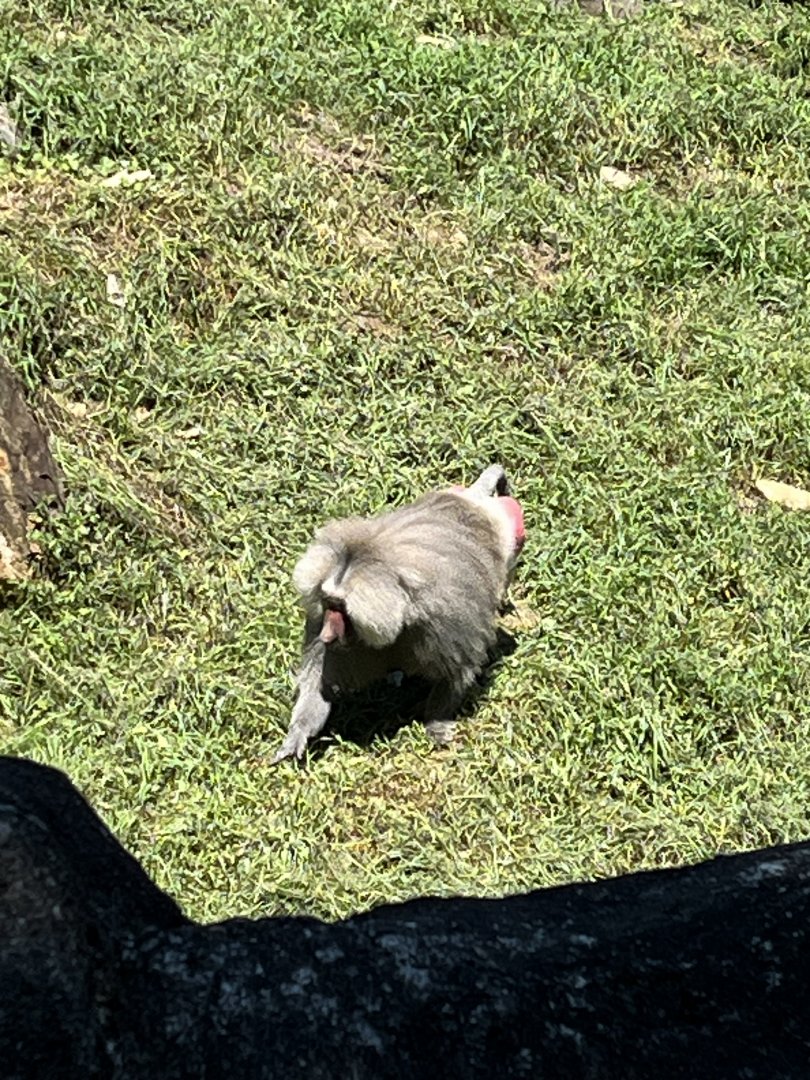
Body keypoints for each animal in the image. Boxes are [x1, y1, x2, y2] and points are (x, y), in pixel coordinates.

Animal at [271, 464, 525, 763]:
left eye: (340, 608)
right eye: (328, 603)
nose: (326, 636)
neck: (402, 607)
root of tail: (473, 500)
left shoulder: (443, 623)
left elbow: (456, 673)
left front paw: (436, 722)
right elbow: (319, 683)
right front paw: (298, 734)